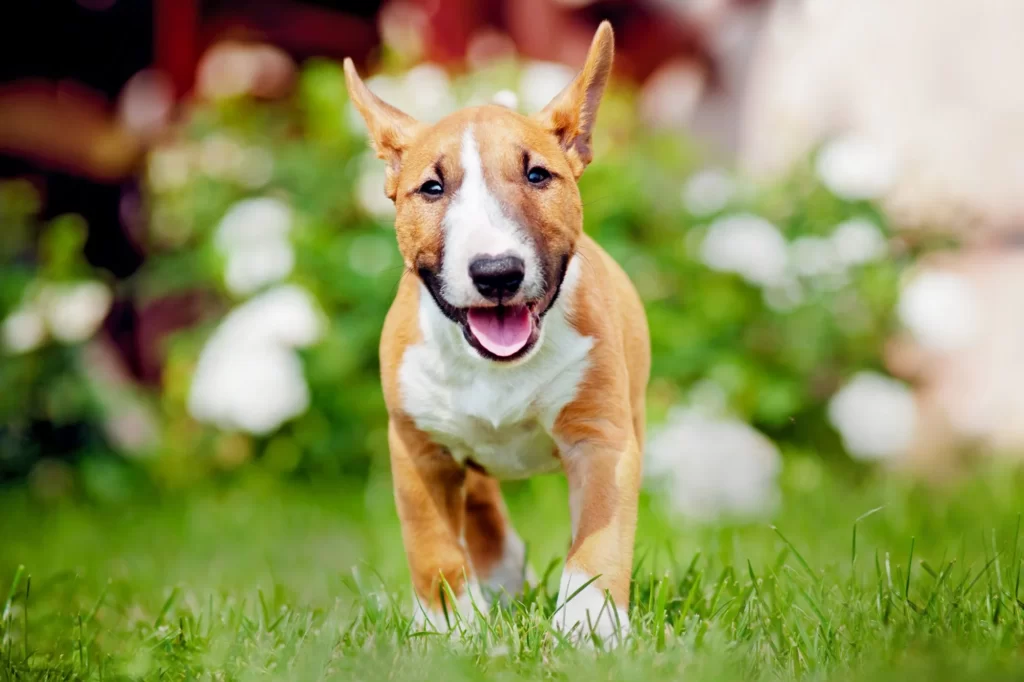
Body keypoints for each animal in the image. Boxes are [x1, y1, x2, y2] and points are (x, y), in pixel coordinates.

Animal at [342, 18, 647, 638]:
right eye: (432, 188)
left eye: (537, 174)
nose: (497, 273)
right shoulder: (417, 449)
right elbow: (432, 546)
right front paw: (448, 627)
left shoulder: (602, 437)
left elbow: (598, 536)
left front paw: (590, 625)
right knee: (481, 498)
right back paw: (501, 576)